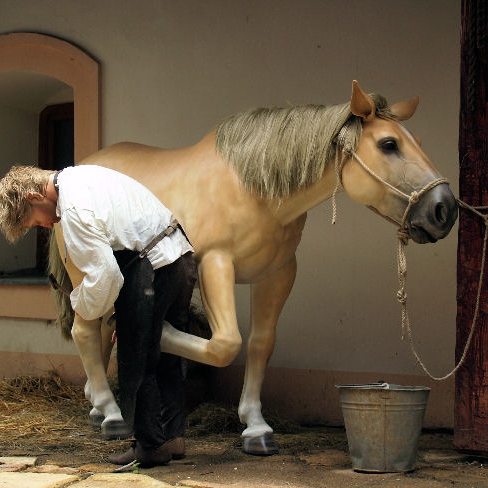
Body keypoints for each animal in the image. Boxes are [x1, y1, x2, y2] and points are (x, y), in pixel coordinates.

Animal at [48, 81, 458, 454]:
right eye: (389, 144)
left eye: (418, 141)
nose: (444, 209)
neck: (251, 188)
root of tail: (70, 172)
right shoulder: (215, 263)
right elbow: (225, 344)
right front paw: (162, 334)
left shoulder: (277, 273)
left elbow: (261, 344)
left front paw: (255, 426)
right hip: (88, 267)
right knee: (86, 331)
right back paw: (111, 413)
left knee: (98, 329)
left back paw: (98, 406)